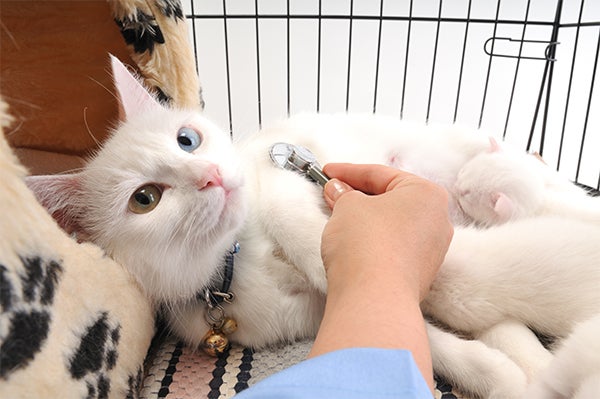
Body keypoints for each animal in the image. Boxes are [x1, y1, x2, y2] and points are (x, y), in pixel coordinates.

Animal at [25, 56, 600, 399]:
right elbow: (419, 335)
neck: (237, 258)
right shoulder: (310, 316)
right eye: (144, 199)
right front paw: (494, 372)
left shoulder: (276, 174)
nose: (211, 175)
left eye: (187, 139)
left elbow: (293, 216)